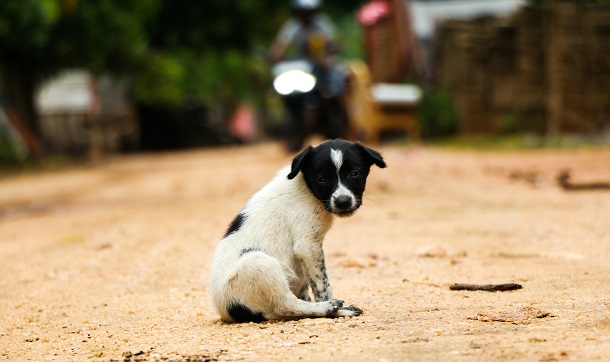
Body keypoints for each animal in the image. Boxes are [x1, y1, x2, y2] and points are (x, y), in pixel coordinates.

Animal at [207, 139, 382, 322]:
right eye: (322, 179)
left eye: (354, 174)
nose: (343, 201)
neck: (306, 188)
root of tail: (227, 311)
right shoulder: (308, 246)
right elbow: (323, 286)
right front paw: (331, 304)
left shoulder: (302, 258)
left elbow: (308, 287)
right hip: (258, 263)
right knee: (286, 305)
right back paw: (331, 308)